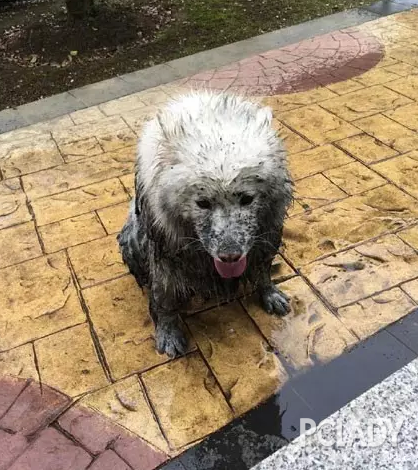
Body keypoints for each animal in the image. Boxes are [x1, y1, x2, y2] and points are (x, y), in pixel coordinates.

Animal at [117, 91, 294, 356]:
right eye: (202, 203)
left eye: (247, 198)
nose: (230, 256)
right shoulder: (164, 251)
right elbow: (164, 297)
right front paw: (169, 333)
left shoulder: (268, 232)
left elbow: (263, 271)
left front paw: (270, 294)